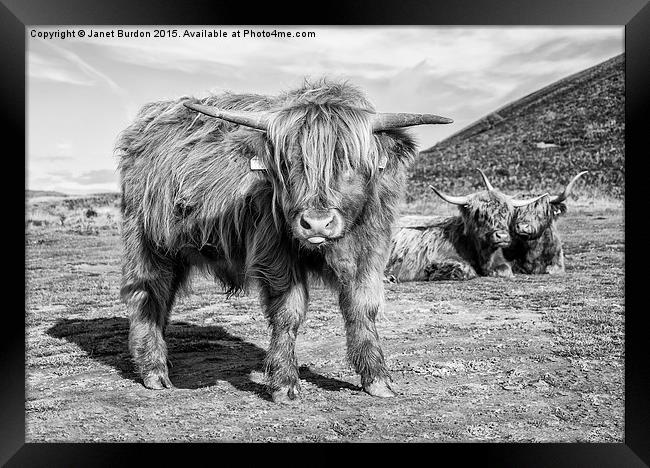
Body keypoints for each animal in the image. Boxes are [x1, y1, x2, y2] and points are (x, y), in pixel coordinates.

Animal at [115, 77, 450, 402]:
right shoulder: (275, 254)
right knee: (148, 296)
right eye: (288, 163)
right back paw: (154, 371)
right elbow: (288, 313)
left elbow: (362, 308)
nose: (316, 223)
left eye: (348, 161)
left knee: (164, 297)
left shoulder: (370, 251)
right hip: (146, 241)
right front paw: (285, 384)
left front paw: (377, 377)